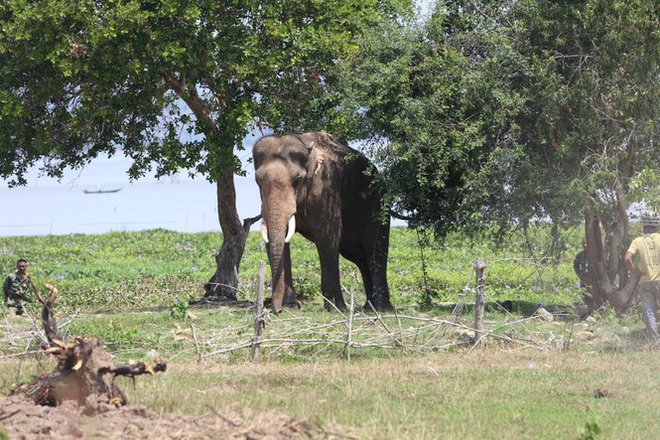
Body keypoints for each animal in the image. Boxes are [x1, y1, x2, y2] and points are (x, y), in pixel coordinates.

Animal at [253, 131, 392, 312]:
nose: (277, 311)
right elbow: (281, 241)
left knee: (375, 249)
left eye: (297, 179)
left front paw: (336, 308)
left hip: (378, 204)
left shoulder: (326, 189)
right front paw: (291, 306)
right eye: (257, 181)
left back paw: (383, 308)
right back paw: (369, 307)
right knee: (360, 257)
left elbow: (327, 237)